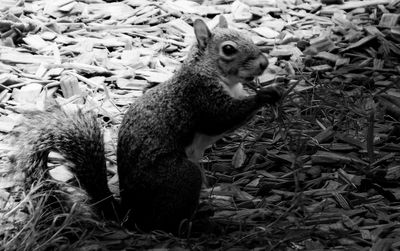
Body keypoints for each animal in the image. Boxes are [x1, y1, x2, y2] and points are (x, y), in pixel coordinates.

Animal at [12, 16, 282, 233]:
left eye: (248, 36)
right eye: (228, 49)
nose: (264, 64)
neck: (211, 72)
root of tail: (131, 214)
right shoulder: (200, 98)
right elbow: (223, 118)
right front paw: (265, 95)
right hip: (182, 176)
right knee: (169, 225)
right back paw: (205, 224)